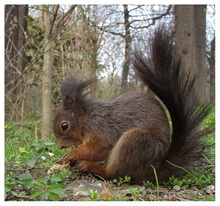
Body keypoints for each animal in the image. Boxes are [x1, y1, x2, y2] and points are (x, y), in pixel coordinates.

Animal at [52, 26, 211, 183]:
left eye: (64, 125)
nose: (60, 146)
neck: (86, 118)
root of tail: (152, 170)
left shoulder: (101, 130)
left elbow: (98, 149)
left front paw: (72, 154)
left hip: (136, 141)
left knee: (115, 173)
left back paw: (93, 167)